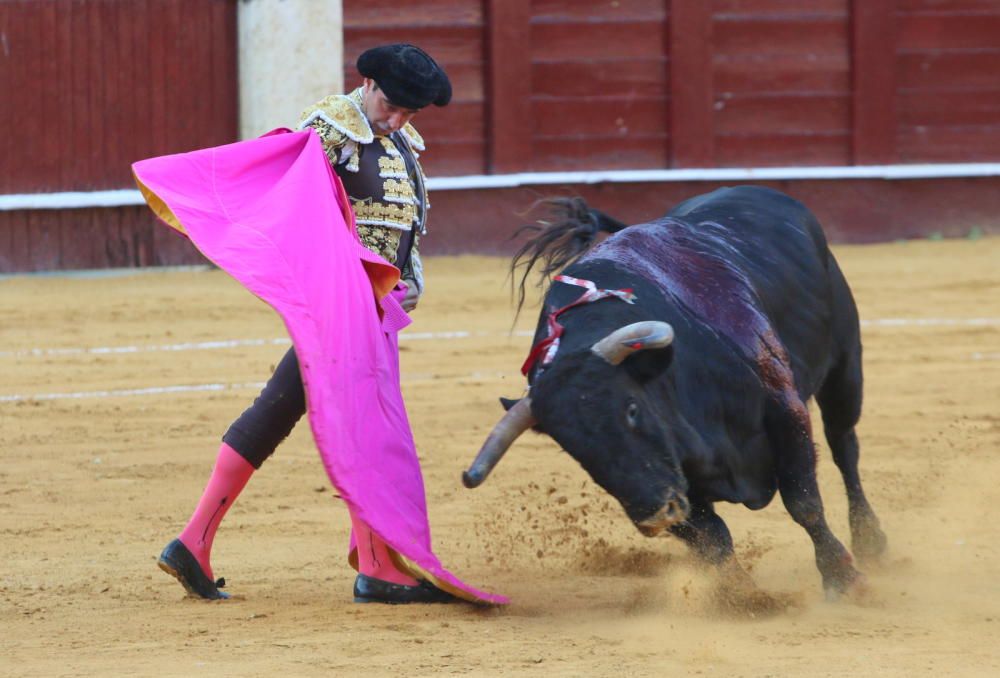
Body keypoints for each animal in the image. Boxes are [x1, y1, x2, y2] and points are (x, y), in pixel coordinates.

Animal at [464, 186, 888, 596]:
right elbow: (713, 539)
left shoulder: (785, 410)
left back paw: (871, 542)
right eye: (571, 447)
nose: (654, 514)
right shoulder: (677, 485)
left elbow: (803, 502)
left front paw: (842, 578)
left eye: (631, 409)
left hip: (844, 369)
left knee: (844, 448)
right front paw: (743, 598)